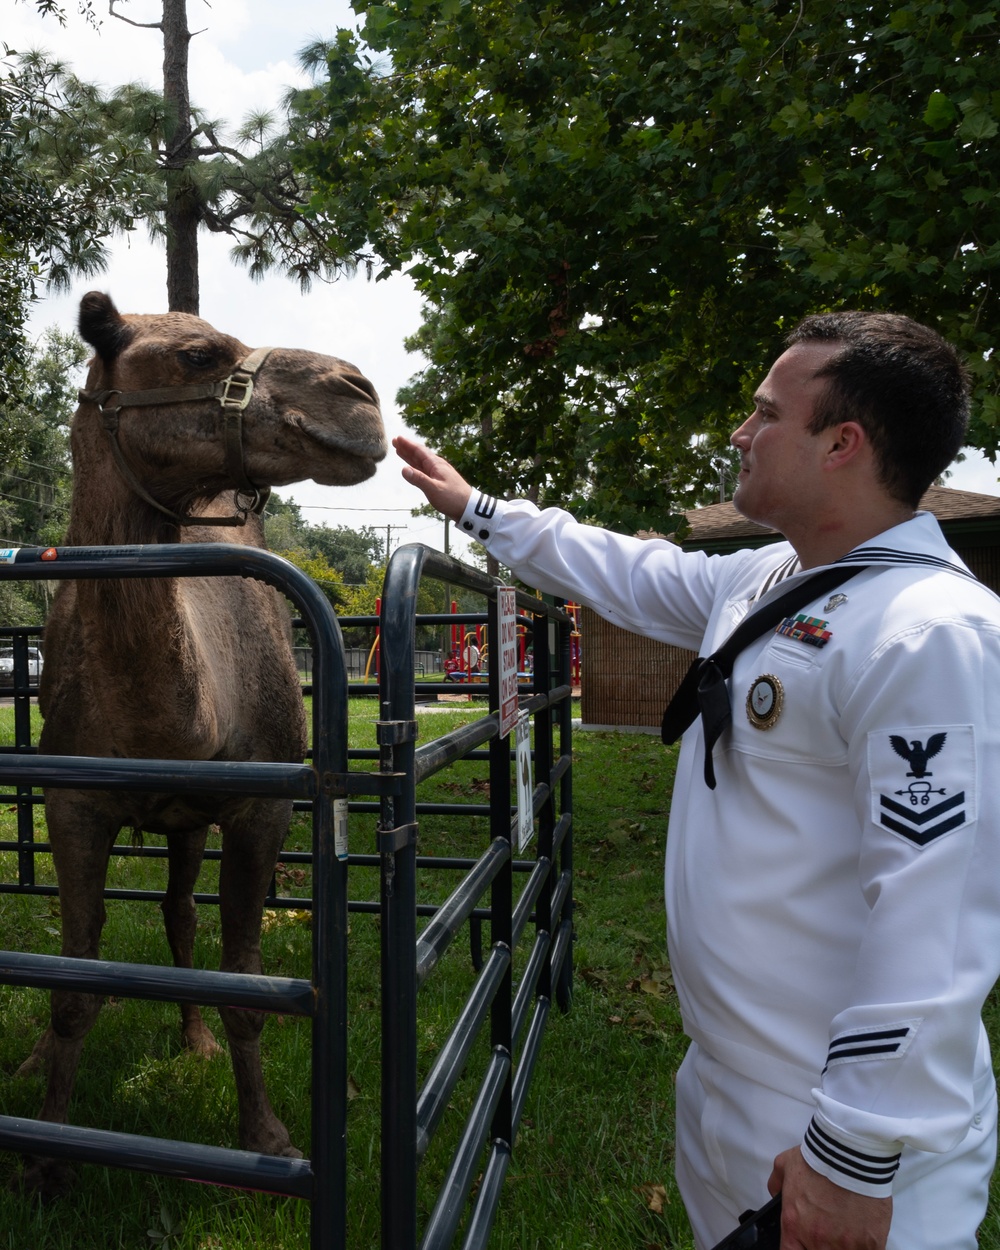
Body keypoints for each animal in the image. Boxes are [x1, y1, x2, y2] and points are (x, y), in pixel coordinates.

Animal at [17, 287, 387, 1195]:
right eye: (197, 355)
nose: (358, 393)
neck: (177, 726)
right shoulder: (72, 803)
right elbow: (73, 984)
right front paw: (45, 1151)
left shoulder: (260, 809)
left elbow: (247, 984)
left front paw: (271, 1137)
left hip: (192, 822)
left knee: (183, 914)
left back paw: (193, 1039)